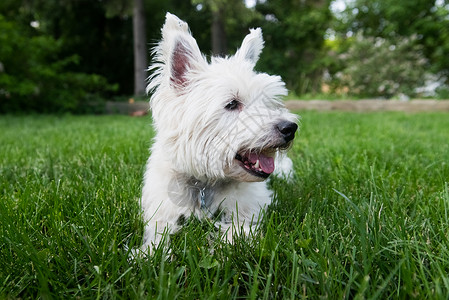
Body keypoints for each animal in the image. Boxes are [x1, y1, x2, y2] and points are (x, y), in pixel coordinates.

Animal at [140, 14, 298, 252]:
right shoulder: (162, 211)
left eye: (267, 102)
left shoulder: (248, 208)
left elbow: (238, 232)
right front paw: (148, 254)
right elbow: (157, 235)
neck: (205, 183)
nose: (290, 128)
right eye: (232, 104)